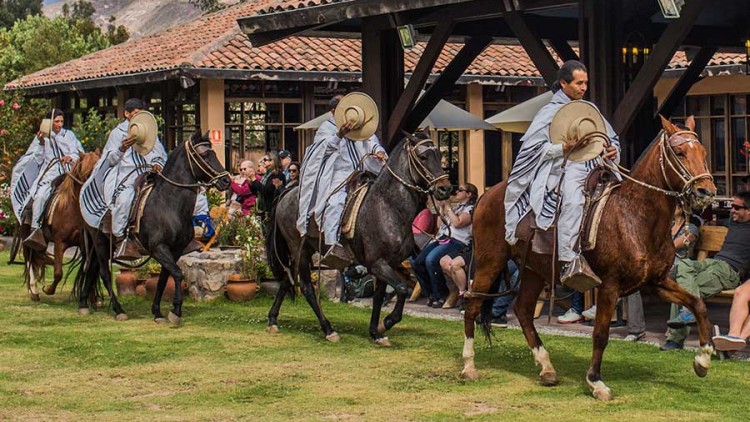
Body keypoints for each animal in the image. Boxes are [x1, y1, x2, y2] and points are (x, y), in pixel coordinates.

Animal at [21, 150, 101, 302]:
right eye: (88, 172)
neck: (71, 208)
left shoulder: (84, 245)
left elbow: (88, 269)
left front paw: (93, 298)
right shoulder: (59, 242)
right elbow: (58, 272)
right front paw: (48, 289)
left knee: (38, 257)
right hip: (27, 236)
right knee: (29, 259)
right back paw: (33, 290)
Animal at [75, 133, 232, 324]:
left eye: (213, 153)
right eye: (202, 154)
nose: (226, 180)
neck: (169, 205)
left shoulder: (175, 250)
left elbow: (163, 279)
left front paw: (158, 311)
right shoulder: (159, 248)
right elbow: (178, 274)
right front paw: (175, 312)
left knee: (92, 270)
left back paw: (83, 304)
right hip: (100, 242)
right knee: (104, 273)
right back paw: (118, 310)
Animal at [266, 135, 452, 346]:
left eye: (438, 154)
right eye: (422, 157)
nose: (445, 188)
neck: (387, 207)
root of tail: (287, 193)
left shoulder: (389, 264)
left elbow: (380, 296)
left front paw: (376, 332)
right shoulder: (377, 263)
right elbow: (402, 288)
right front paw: (386, 322)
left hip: (305, 250)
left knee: (286, 279)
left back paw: (272, 320)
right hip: (299, 249)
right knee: (306, 288)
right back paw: (328, 329)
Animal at [464, 115, 716, 398]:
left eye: (703, 152)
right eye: (680, 152)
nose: (706, 191)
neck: (635, 217)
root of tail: (486, 194)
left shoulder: (655, 282)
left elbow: (698, 304)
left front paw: (703, 359)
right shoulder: (609, 285)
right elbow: (600, 334)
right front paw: (596, 381)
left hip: (533, 270)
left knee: (523, 310)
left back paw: (546, 367)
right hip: (490, 262)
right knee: (472, 306)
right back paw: (469, 366)